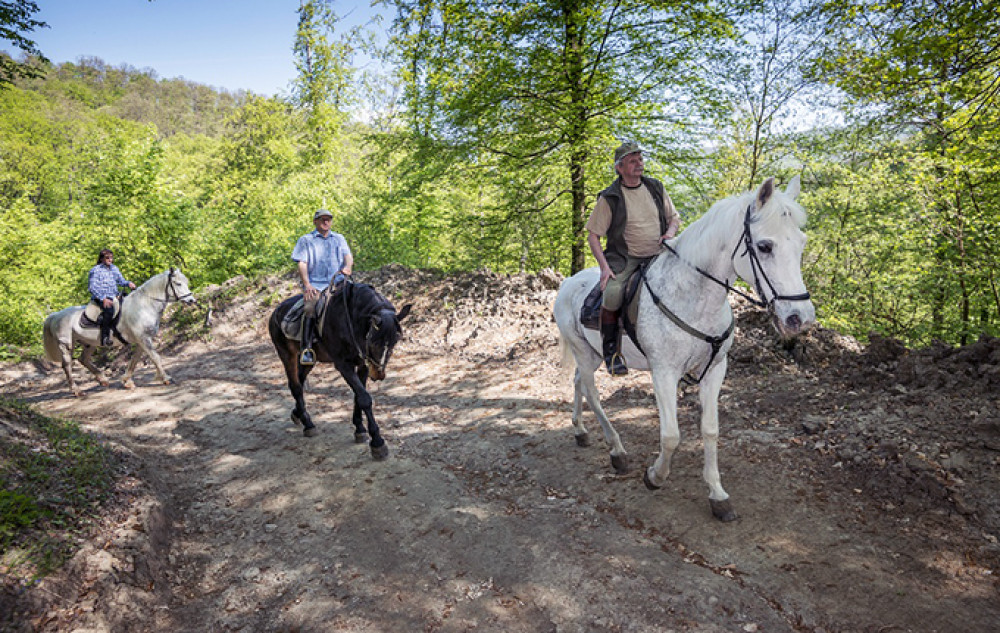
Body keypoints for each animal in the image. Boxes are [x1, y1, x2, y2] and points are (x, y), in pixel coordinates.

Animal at [42, 266, 196, 396]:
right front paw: (166, 378)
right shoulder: (143, 339)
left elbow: (134, 360)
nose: (191, 300)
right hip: (67, 345)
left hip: (90, 343)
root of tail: (56, 315)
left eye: (186, 282)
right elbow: (155, 357)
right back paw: (77, 390)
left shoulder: (142, 340)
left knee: (83, 359)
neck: (143, 306)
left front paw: (127, 381)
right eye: (178, 283)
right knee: (67, 365)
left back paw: (103, 380)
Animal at [268, 278, 412, 456]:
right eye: (374, 341)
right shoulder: (343, 365)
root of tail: (275, 312)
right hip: (287, 355)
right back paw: (308, 424)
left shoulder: (363, 365)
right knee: (294, 386)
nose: (378, 374)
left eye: (396, 340)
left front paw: (360, 429)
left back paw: (298, 414)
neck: (351, 320)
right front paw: (377, 442)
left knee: (300, 382)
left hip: (309, 361)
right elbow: (364, 398)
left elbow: (359, 396)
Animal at [552, 177, 816, 520]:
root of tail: (568, 283)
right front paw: (655, 476)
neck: (694, 296)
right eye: (764, 246)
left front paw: (717, 494)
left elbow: (711, 430)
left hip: (593, 355)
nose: (800, 317)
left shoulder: (715, 370)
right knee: (593, 394)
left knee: (578, 383)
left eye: (801, 243)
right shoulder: (664, 373)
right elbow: (671, 435)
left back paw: (580, 431)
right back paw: (617, 451)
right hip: (584, 353)